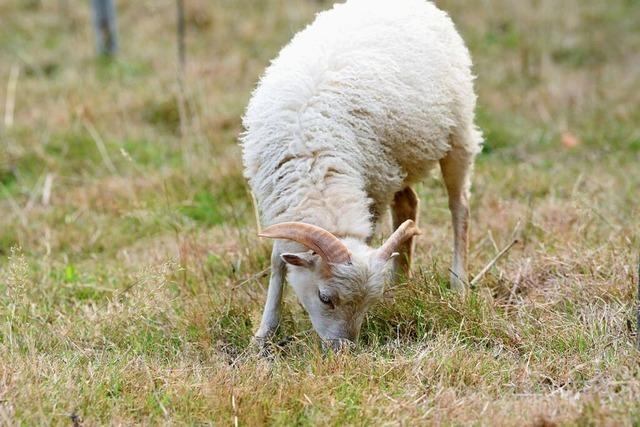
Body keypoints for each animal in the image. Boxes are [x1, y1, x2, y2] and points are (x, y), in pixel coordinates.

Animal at [240, 0, 480, 350]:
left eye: (368, 303)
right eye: (325, 298)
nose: (345, 350)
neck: (317, 171)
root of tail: (415, 4)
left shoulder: (372, 191)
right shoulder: (276, 203)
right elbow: (276, 263)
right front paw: (263, 335)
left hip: (456, 134)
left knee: (459, 206)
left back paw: (458, 282)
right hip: (396, 160)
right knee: (408, 203)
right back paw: (400, 281)